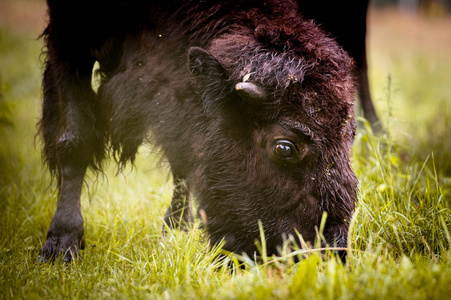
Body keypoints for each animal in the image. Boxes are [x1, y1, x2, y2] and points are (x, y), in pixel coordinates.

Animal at [38, 0, 358, 262]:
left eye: (351, 134)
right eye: (284, 147)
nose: (329, 253)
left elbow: (181, 156)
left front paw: (177, 229)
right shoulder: (68, 39)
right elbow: (75, 140)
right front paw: (60, 245)